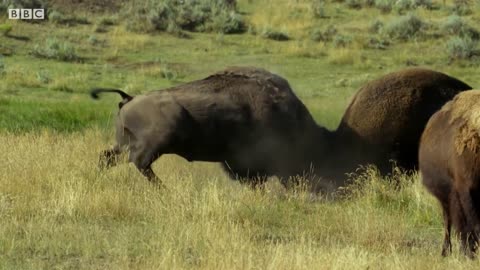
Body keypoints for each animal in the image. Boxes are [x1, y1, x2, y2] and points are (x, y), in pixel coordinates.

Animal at [92, 66, 336, 190]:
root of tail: (129, 98)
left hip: (124, 144)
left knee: (109, 157)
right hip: (157, 140)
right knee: (140, 162)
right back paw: (165, 190)